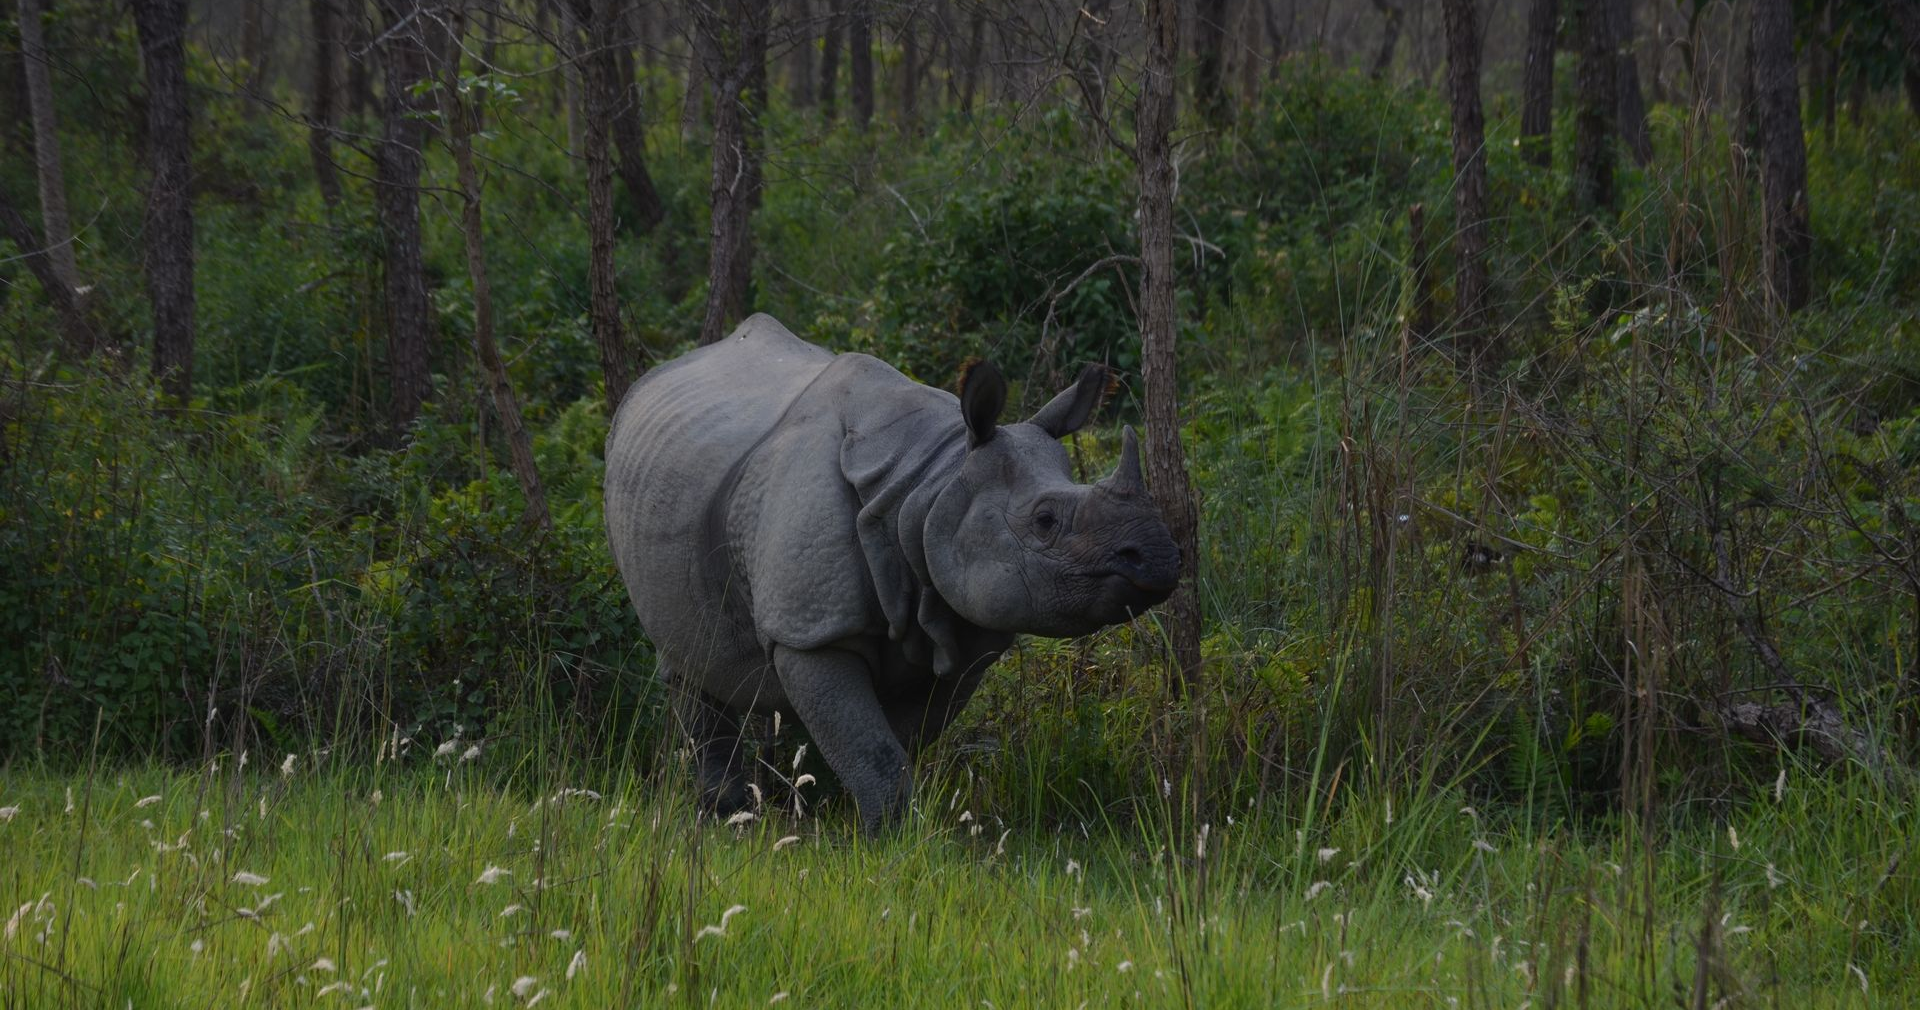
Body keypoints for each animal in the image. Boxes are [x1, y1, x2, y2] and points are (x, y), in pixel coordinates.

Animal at [604, 314, 1180, 830]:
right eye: (1044, 521)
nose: (1158, 558)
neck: (928, 482)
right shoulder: (809, 632)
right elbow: (873, 746)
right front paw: (887, 838)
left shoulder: (960, 632)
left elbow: (896, 739)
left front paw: (857, 818)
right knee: (687, 667)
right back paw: (728, 818)